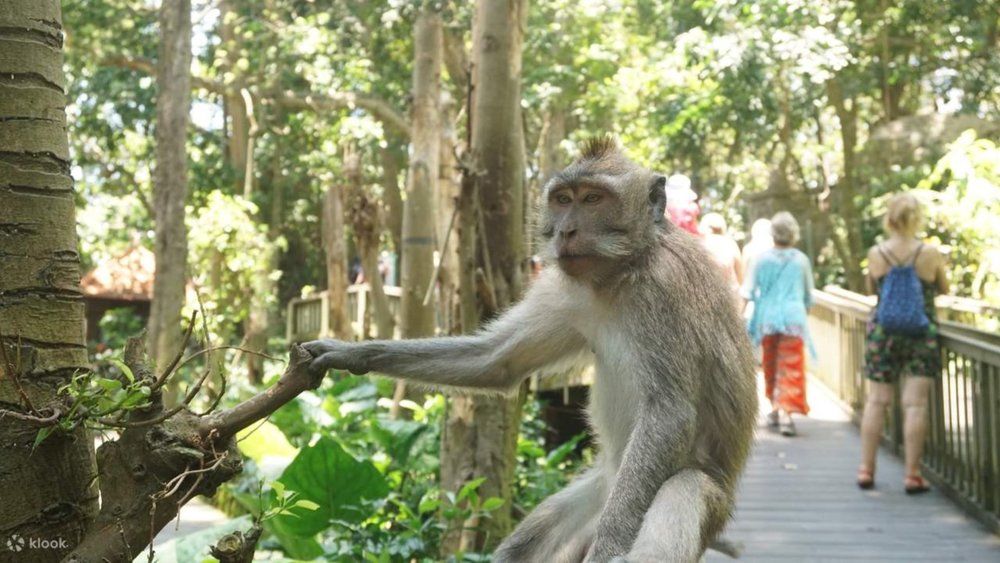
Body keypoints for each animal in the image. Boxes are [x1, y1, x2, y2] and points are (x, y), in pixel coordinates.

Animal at [304, 136, 757, 563]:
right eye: (563, 200)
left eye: (594, 199)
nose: (565, 231)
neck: (622, 272)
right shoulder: (567, 293)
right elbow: (497, 360)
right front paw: (350, 353)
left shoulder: (663, 294)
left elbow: (670, 414)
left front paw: (608, 547)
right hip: (598, 493)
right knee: (529, 542)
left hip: (687, 502)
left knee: (685, 486)